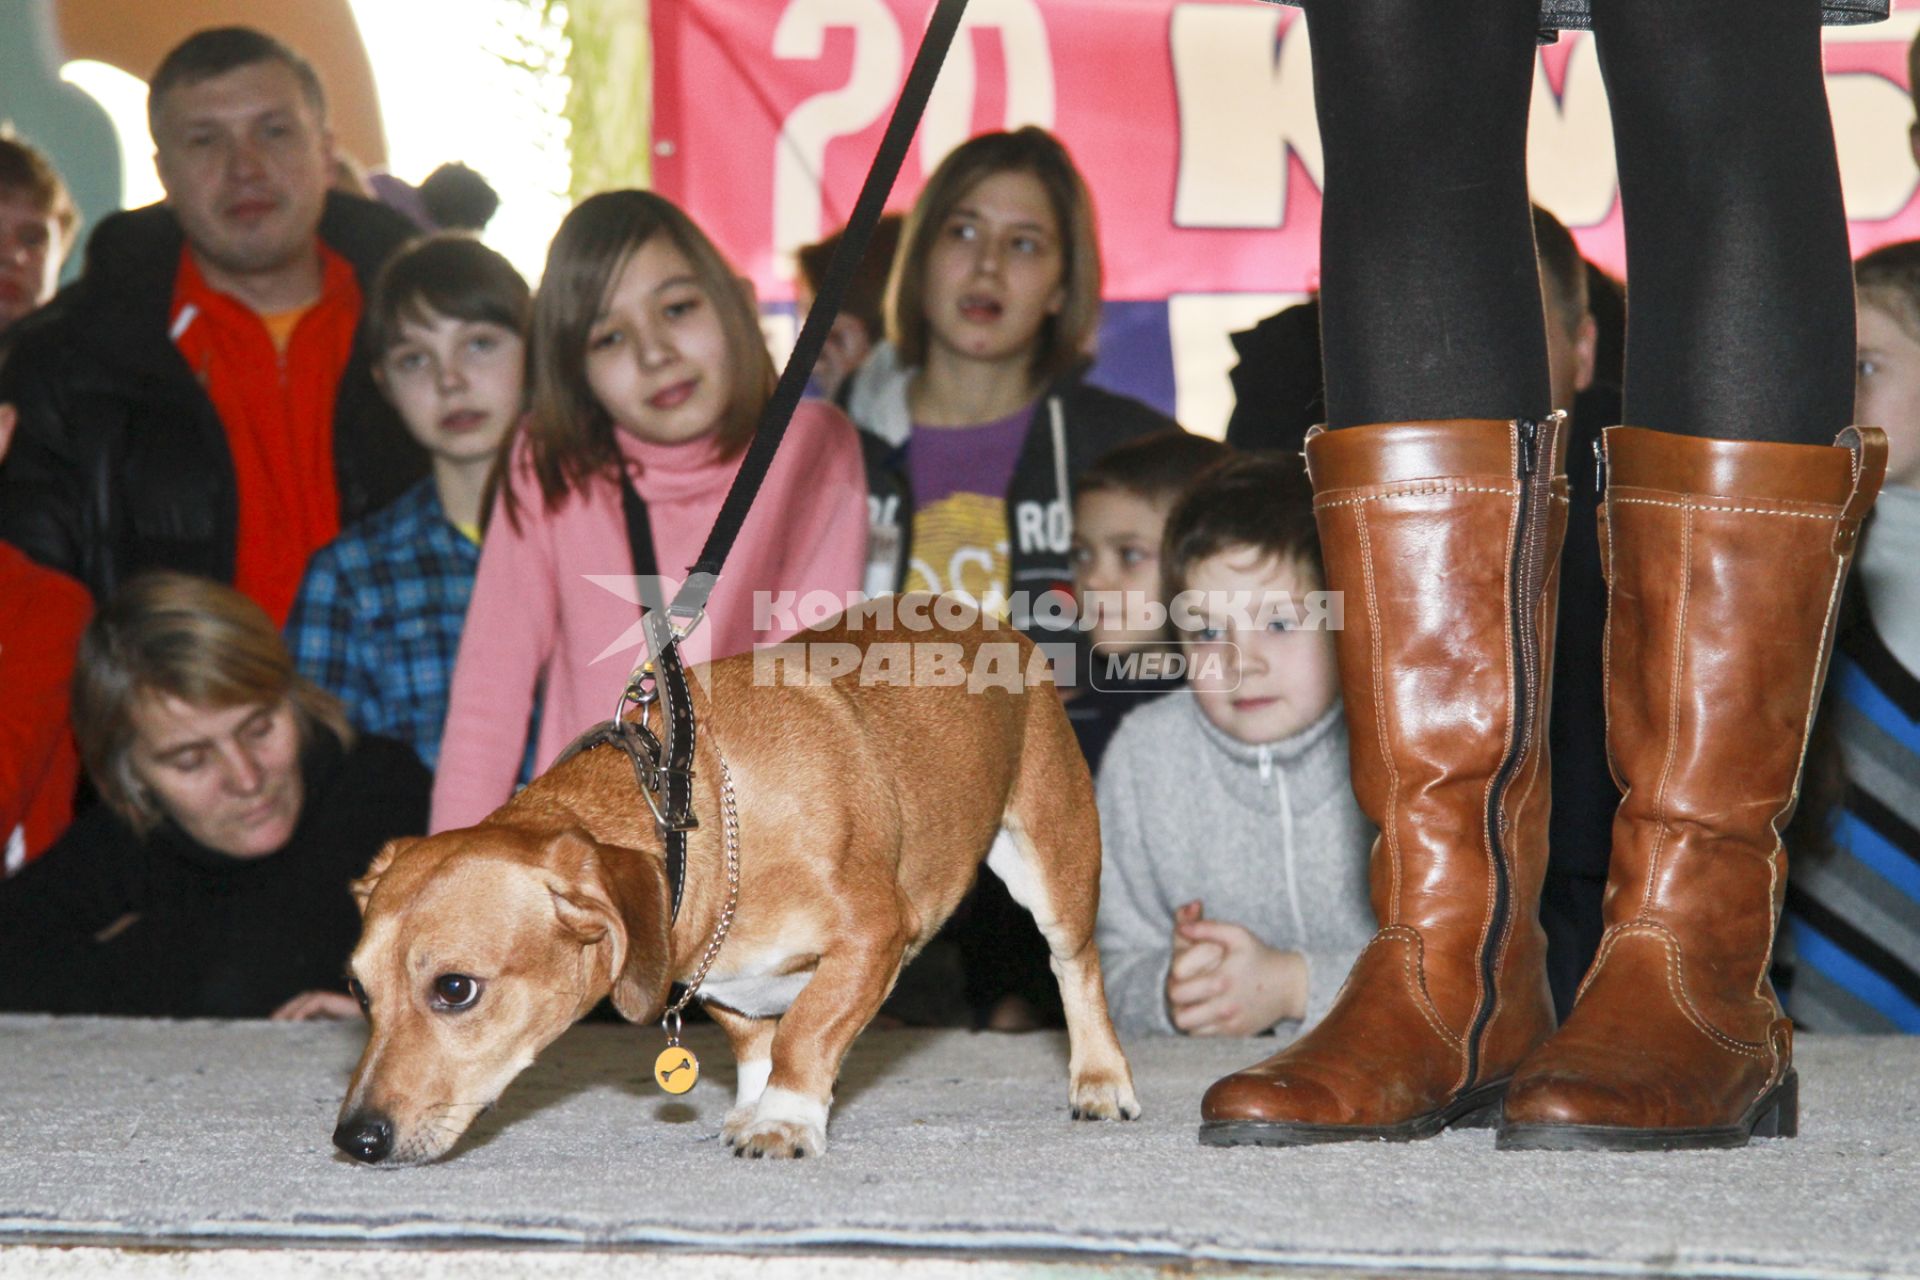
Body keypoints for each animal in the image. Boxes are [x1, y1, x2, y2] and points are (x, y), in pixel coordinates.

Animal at [332, 598, 1136, 1159]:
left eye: (455, 989)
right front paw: (760, 1104)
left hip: (1053, 861)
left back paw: (1100, 1079)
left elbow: (805, 1033)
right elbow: (758, 1042)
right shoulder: (720, 975)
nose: (355, 1141)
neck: (698, 820)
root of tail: (985, 620)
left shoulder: (874, 936)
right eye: (358, 991)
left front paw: (785, 1118)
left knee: (1078, 968)